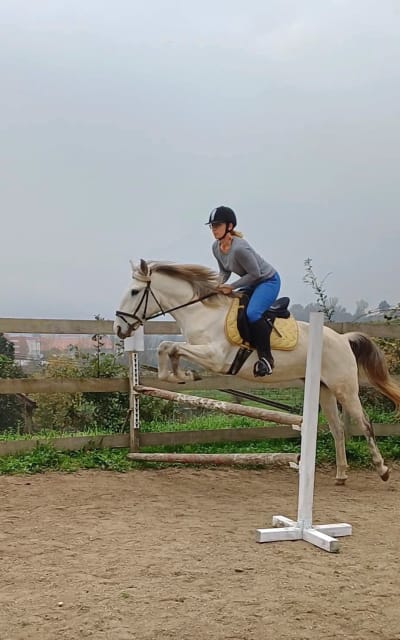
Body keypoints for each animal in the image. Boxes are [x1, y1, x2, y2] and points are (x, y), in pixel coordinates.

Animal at [114, 259, 400, 485]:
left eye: (135, 291)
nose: (119, 328)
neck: (202, 313)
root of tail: (343, 338)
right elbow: (167, 347)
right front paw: (180, 376)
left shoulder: (216, 357)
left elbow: (171, 346)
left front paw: (185, 375)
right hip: (324, 389)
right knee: (337, 428)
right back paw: (341, 475)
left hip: (345, 388)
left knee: (364, 424)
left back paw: (382, 470)